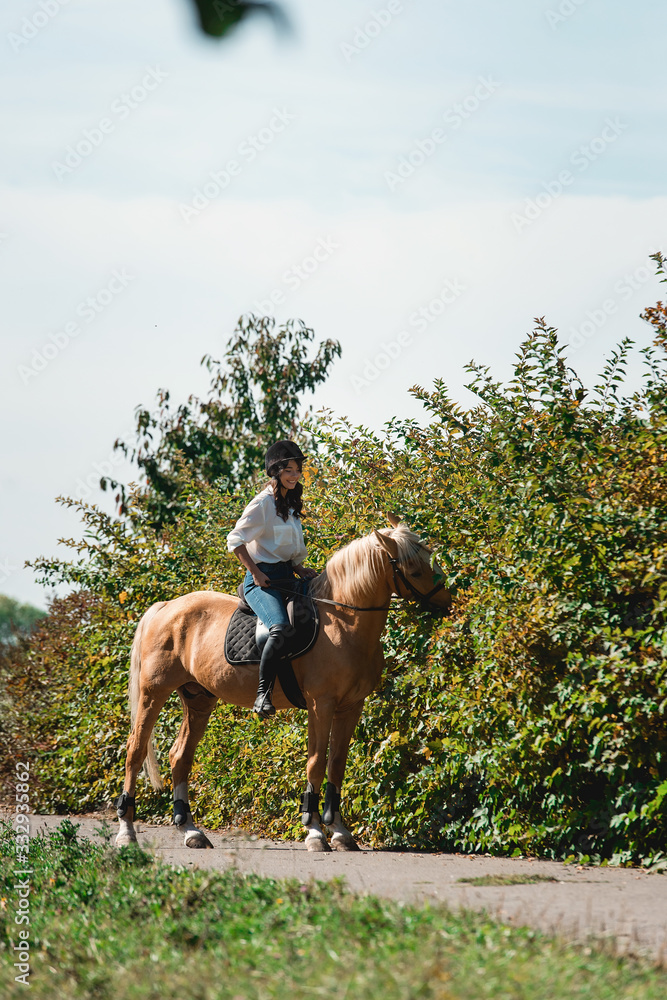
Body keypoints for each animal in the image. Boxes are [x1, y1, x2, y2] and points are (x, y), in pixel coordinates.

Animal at [115, 516, 452, 852]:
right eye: (414, 570)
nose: (447, 603)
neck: (344, 620)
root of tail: (165, 606)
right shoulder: (321, 704)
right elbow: (316, 763)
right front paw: (315, 832)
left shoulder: (351, 706)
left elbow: (337, 764)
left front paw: (340, 832)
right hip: (153, 693)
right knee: (135, 751)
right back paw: (126, 831)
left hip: (199, 699)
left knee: (180, 757)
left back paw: (190, 830)